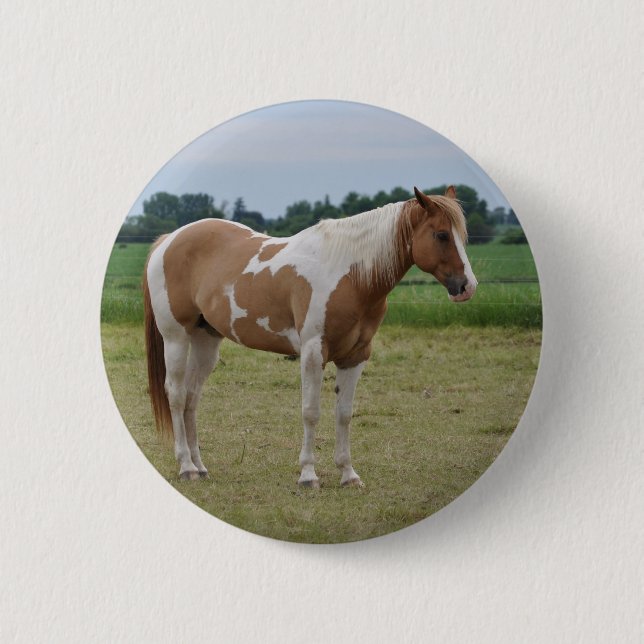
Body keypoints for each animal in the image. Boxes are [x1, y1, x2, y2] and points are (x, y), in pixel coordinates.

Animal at [143, 186, 477, 487]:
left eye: (462, 236)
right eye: (441, 235)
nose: (467, 287)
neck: (350, 275)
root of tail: (167, 240)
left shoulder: (355, 356)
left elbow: (344, 414)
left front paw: (348, 474)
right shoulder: (313, 352)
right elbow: (311, 412)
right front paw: (308, 475)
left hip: (206, 340)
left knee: (191, 397)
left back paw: (200, 467)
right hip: (176, 337)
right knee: (176, 394)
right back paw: (186, 467)